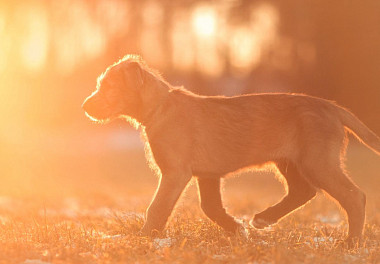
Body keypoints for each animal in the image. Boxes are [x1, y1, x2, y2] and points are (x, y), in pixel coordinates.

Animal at [83, 55, 380, 243]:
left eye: (108, 87)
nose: (85, 107)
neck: (160, 107)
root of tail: (332, 107)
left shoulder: (175, 173)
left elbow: (157, 208)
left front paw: (144, 238)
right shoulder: (208, 174)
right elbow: (210, 207)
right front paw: (237, 230)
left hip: (318, 161)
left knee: (354, 196)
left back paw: (351, 243)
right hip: (289, 161)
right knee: (303, 191)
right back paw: (263, 219)